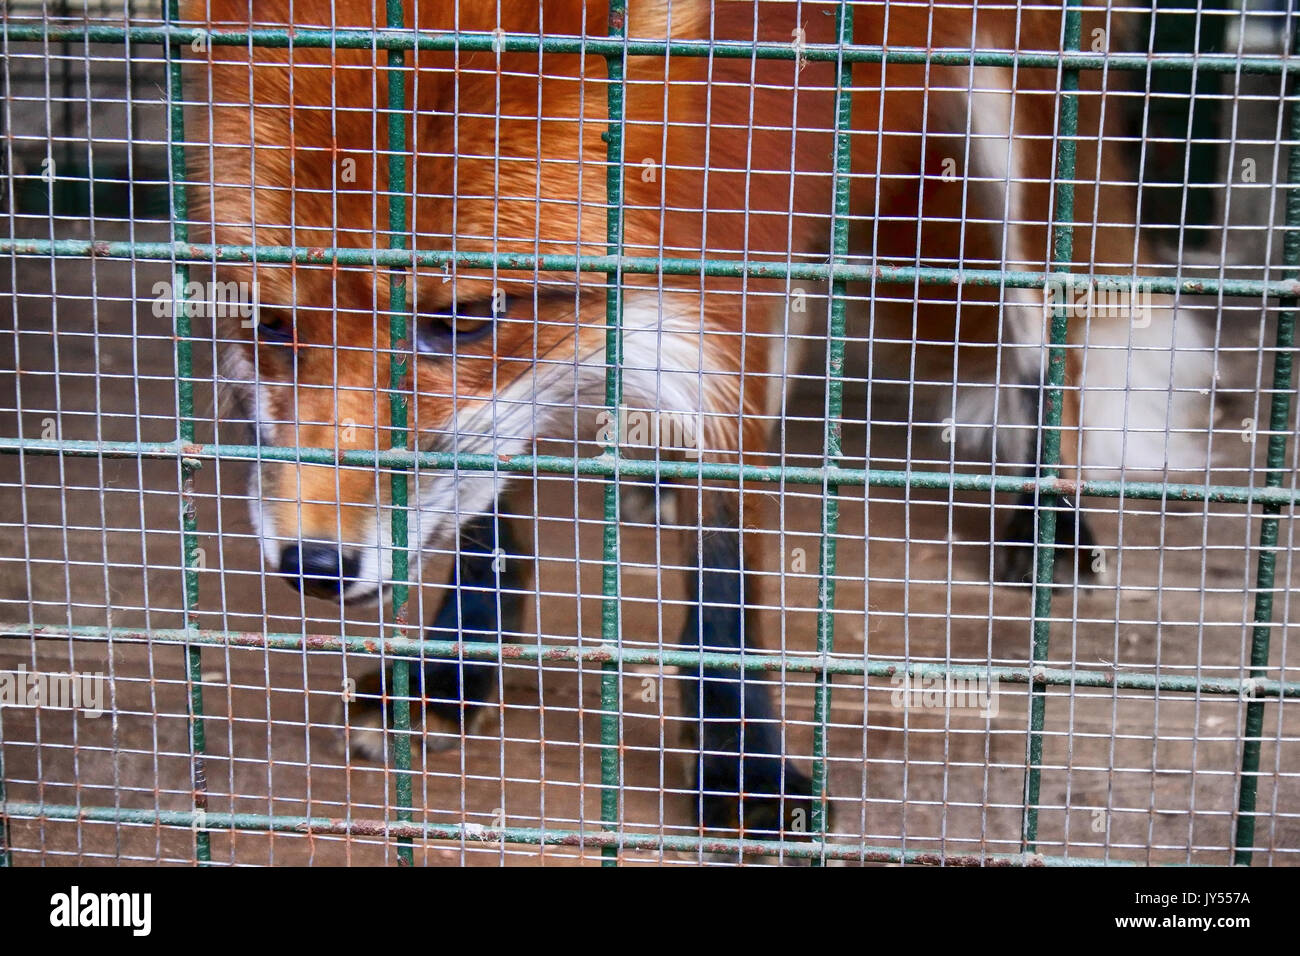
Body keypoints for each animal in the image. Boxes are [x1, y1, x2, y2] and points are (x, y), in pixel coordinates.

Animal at [189, 0, 1210, 839]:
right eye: (268, 322)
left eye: (464, 316)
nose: (314, 566)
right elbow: (490, 508)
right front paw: (452, 669)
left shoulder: (724, 294)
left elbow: (723, 580)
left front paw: (743, 768)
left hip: (1014, 114)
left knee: (1047, 337)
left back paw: (1049, 518)